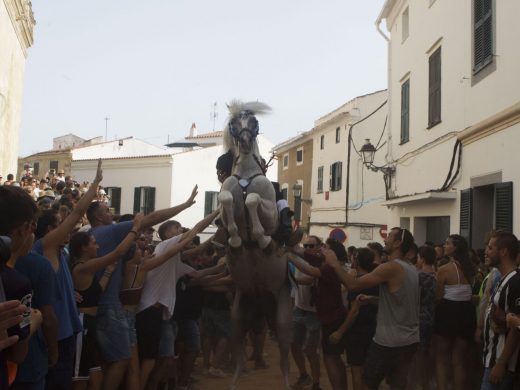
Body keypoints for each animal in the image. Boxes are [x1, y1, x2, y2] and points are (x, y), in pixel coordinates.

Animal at [217, 101, 292, 390]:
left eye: (254, 122)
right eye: (234, 124)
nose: (247, 142)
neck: (246, 177)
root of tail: (261, 300)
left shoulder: (270, 212)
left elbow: (253, 201)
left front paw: (260, 238)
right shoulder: (227, 197)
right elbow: (227, 198)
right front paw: (236, 240)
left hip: (281, 320)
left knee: (284, 357)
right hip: (237, 319)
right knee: (238, 356)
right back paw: (234, 381)